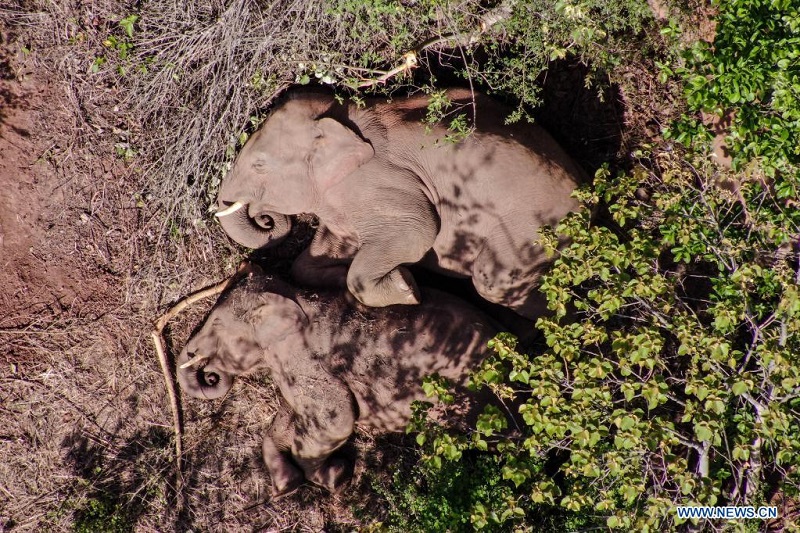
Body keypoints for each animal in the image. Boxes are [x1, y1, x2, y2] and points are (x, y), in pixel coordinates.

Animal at [178, 266, 496, 494]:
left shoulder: (305, 360)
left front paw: (336, 475)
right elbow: (291, 415)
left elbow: (338, 419)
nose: (209, 373)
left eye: (216, 324)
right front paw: (286, 486)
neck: (292, 294)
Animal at [216, 89, 584, 318]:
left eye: (259, 165)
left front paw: (407, 286)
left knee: (494, 282)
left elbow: (419, 231)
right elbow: (310, 261)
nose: (265, 217)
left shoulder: (376, 182)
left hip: (533, 226)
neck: (339, 118)